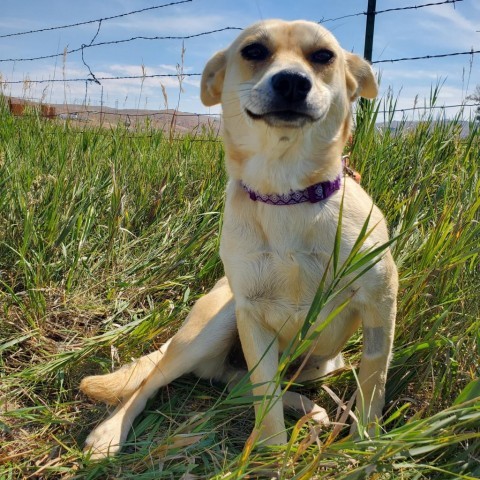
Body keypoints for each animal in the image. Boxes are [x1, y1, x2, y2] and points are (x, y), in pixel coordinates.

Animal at [81, 18, 398, 460]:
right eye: (254, 51)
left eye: (323, 56)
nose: (292, 82)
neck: (285, 194)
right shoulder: (252, 316)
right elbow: (265, 395)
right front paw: (271, 455)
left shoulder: (379, 303)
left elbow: (373, 383)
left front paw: (363, 445)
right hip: (213, 325)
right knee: (156, 380)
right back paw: (109, 432)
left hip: (320, 362)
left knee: (236, 380)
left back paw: (306, 406)